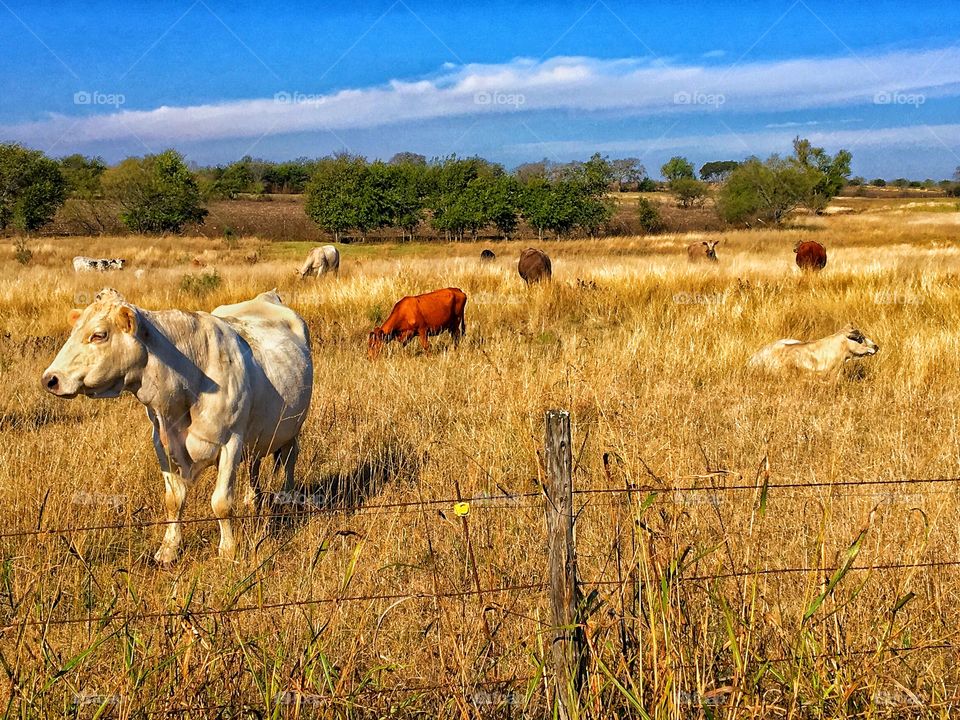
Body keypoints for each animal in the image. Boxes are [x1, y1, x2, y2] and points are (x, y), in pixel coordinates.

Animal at [41, 287, 314, 565]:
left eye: (99, 335)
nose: (50, 379)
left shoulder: (231, 442)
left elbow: (222, 502)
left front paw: (228, 550)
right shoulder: (162, 443)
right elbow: (173, 500)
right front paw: (169, 548)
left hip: (293, 427)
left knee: (289, 459)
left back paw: (287, 499)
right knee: (254, 464)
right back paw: (251, 498)